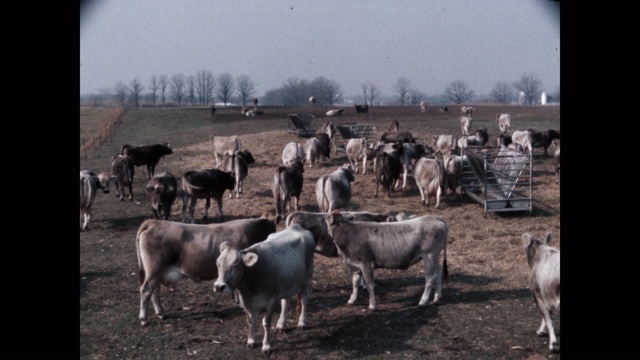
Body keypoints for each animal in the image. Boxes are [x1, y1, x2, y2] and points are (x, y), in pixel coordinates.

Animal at [135, 217, 276, 326]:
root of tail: (154, 222)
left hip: (156, 274)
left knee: (154, 291)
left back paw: (161, 313)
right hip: (154, 272)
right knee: (146, 290)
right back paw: (144, 319)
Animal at [214, 224, 316, 356]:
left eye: (235, 265)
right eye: (218, 264)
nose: (219, 286)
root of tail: (297, 226)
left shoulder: (271, 301)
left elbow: (266, 323)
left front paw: (266, 346)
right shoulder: (246, 302)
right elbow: (251, 321)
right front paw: (251, 341)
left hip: (307, 278)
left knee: (304, 300)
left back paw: (302, 323)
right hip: (287, 281)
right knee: (285, 301)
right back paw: (281, 324)